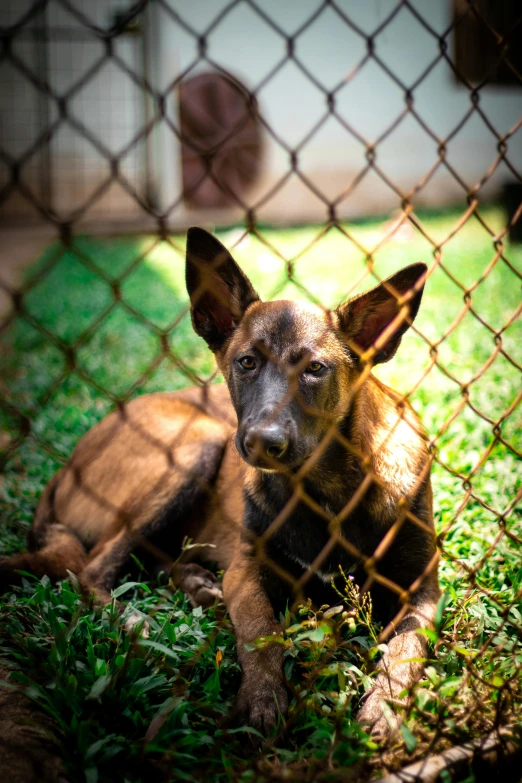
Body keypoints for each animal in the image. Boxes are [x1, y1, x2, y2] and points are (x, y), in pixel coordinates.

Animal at [1, 228, 438, 740]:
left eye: (315, 369)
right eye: (246, 362)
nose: (262, 441)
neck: (326, 491)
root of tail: (63, 470)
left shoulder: (423, 589)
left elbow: (406, 649)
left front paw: (385, 706)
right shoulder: (247, 569)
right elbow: (260, 633)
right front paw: (263, 698)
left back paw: (193, 583)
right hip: (198, 443)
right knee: (91, 569)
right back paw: (139, 620)